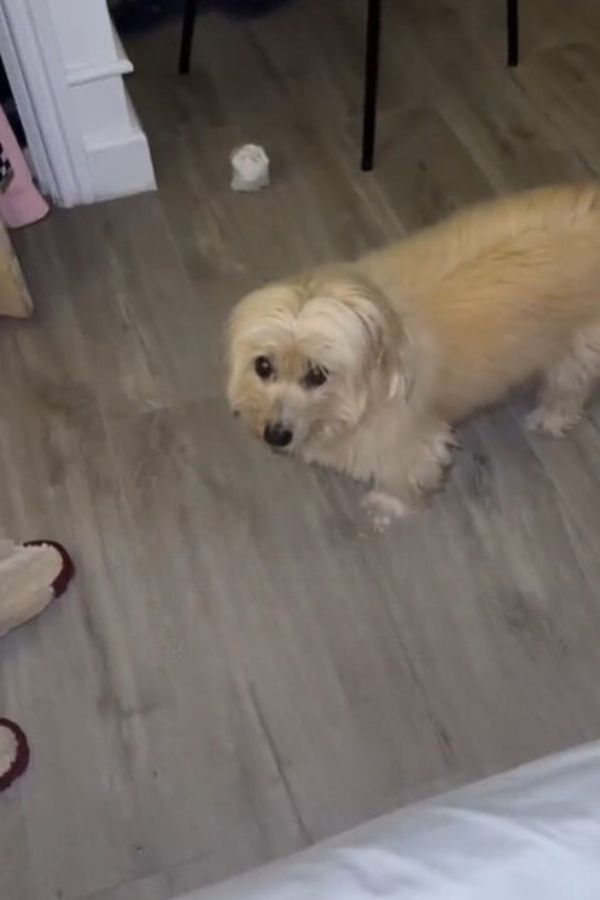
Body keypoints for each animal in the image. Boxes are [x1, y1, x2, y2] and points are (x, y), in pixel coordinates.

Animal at [226, 186, 600, 532]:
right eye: (263, 366)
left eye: (318, 375)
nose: (275, 435)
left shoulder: (410, 444)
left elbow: (401, 479)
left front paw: (387, 505)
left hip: (578, 349)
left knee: (569, 391)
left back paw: (550, 418)